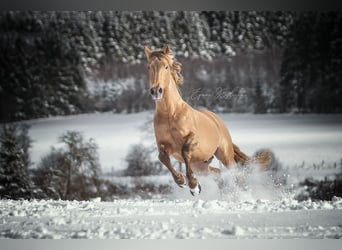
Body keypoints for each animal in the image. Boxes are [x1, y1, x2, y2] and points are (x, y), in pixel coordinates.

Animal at [144, 45, 270, 195]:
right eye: (149, 66)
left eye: (166, 66)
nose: (156, 91)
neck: (170, 115)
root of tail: (217, 120)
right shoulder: (163, 145)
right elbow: (162, 157)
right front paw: (182, 181)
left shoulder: (194, 140)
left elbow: (185, 150)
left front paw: (193, 185)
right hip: (200, 166)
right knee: (217, 173)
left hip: (224, 156)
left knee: (235, 174)